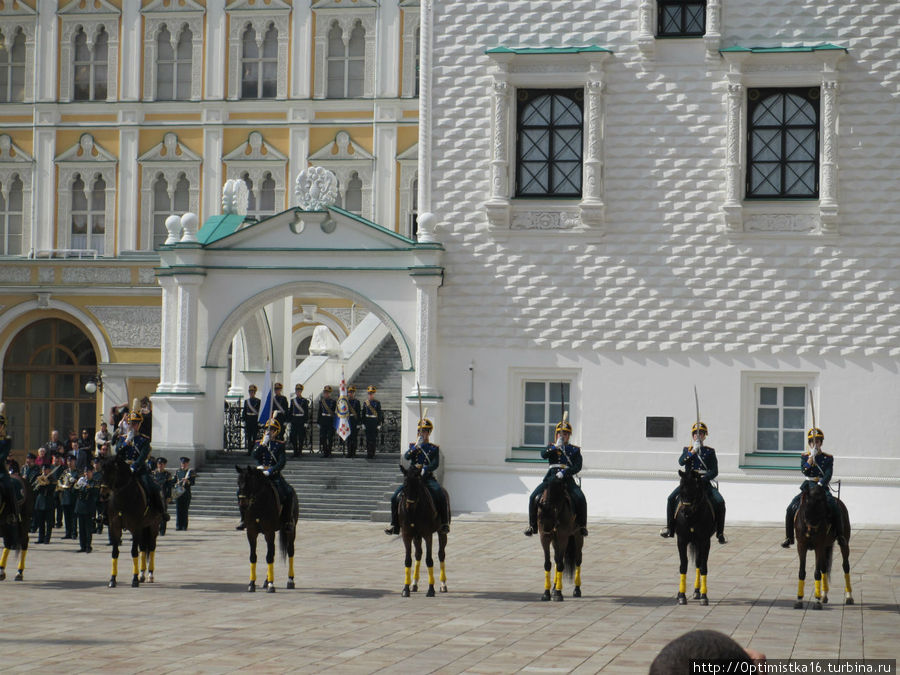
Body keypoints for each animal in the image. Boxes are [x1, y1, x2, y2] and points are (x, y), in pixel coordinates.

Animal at [101, 454, 163, 592]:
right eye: (101, 470)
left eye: (112, 471)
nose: (104, 494)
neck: (123, 498)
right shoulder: (114, 527)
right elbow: (115, 553)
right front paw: (112, 580)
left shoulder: (136, 527)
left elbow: (134, 552)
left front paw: (134, 579)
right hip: (144, 528)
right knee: (143, 548)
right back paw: (142, 574)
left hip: (153, 527)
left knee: (151, 548)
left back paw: (150, 575)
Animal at [236, 468, 298, 596]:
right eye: (238, 482)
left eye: (249, 482)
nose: (242, 503)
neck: (258, 504)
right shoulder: (251, 532)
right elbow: (253, 556)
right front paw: (252, 584)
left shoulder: (270, 532)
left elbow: (269, 557)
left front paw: (271, 585)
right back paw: (266, 579)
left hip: (291, 530)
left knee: (290, 552)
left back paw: (290, 580)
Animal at [400, 464, 448, 596]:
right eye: (405, 485)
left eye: (418, 486)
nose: (409, 507)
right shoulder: (406, 535)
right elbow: (408, 560)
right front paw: (406, 588)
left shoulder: (427, 534)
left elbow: (429, 560)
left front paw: (431, 589)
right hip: (417, 536)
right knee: (418, 554)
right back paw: (414, 583)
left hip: (442, 532)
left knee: (441, 554)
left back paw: (443, 584)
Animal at [536, 470, 584, 604]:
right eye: (540, 518)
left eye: (554, 514)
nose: (548, 530)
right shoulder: (544, 538)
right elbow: (548, 563)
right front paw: (546, 593)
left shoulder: (562, 537)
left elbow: (561, 564)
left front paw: (558, 593)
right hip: (555, 540)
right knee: (557, 559)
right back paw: (553, 587)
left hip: (577, 535)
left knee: (577, 559)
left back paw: (576, 589)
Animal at [676, 470, 716, 608]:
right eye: (681, 490)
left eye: (695, 490)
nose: (685, 511)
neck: (692, 518)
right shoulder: (681, 540)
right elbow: (683, 565)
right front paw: (681, 595)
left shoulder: (705, 541)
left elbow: (703, 566)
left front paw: (704, 596)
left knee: (699, 563)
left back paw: (697, 591)